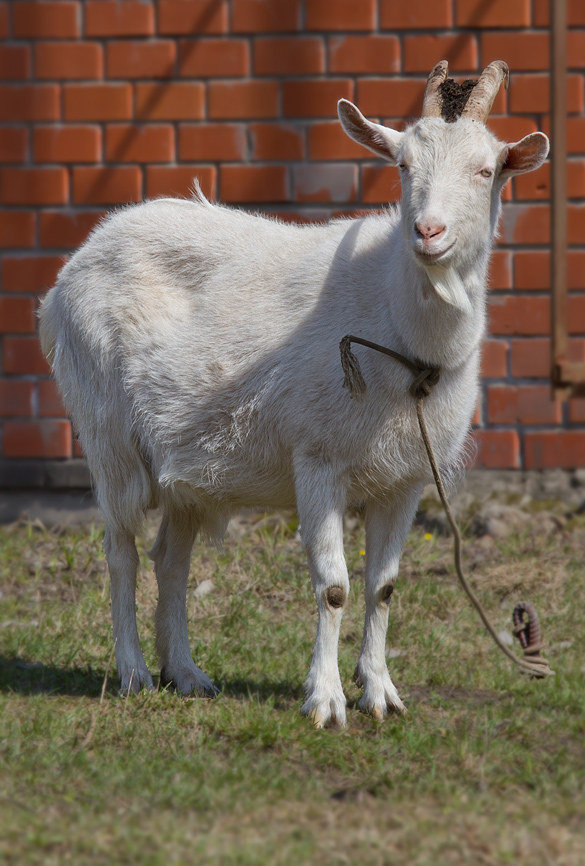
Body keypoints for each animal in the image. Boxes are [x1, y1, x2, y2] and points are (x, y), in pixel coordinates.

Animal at [40, 60, 548, 724]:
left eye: (487, 170)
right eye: (402, 164)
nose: (428, 230)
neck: (396, 322)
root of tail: (69, 272)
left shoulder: (409, 477)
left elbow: (384, 586)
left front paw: (380, 694)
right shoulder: (318, 458)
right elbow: (333, 587)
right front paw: (326, 700)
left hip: (182, 466)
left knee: (171, 559)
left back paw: (187, 673)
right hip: (107, 435)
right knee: (121, 551)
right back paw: (134, 674)